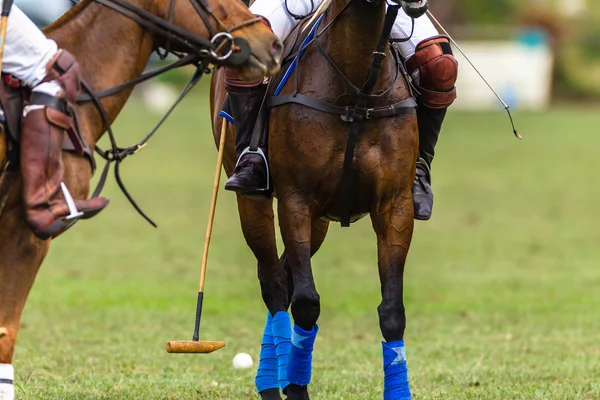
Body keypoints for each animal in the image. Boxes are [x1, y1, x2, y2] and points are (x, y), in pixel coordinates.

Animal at [211, 0, 418, 396]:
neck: (358, 89)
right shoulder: (296, 199)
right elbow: (306, 303)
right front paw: (295, 388)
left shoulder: (395, 204)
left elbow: (392, 311)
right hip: (254, 200)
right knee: (274, 283)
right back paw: (270, 384)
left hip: (320, 220)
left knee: (284, 275)